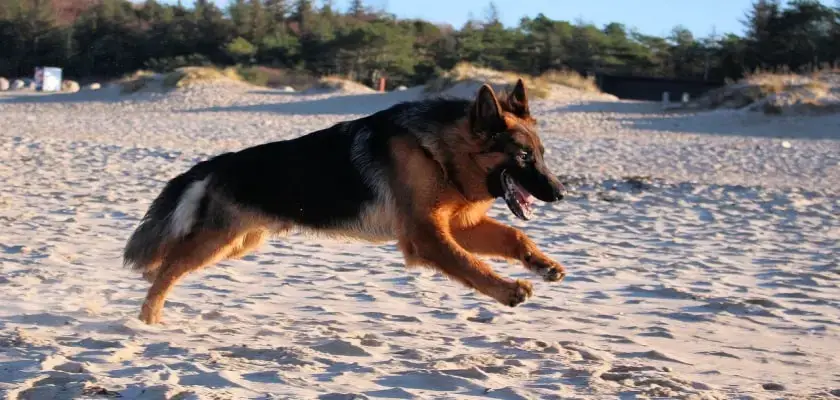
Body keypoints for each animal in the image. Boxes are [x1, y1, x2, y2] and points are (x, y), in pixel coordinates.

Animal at [124, 79, 568, 324]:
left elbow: (513, 237)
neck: (440, 151)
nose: (561, 194)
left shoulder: (458, 226)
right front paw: (508, 289)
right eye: (523, 156)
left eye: (542, 154)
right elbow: (470, 264)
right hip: (216, 243)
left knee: (166, 264)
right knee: (168, 269)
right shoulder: (427, 236)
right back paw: (148, 320)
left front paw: (541, 263)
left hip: (235, 244)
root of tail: (218, 163)